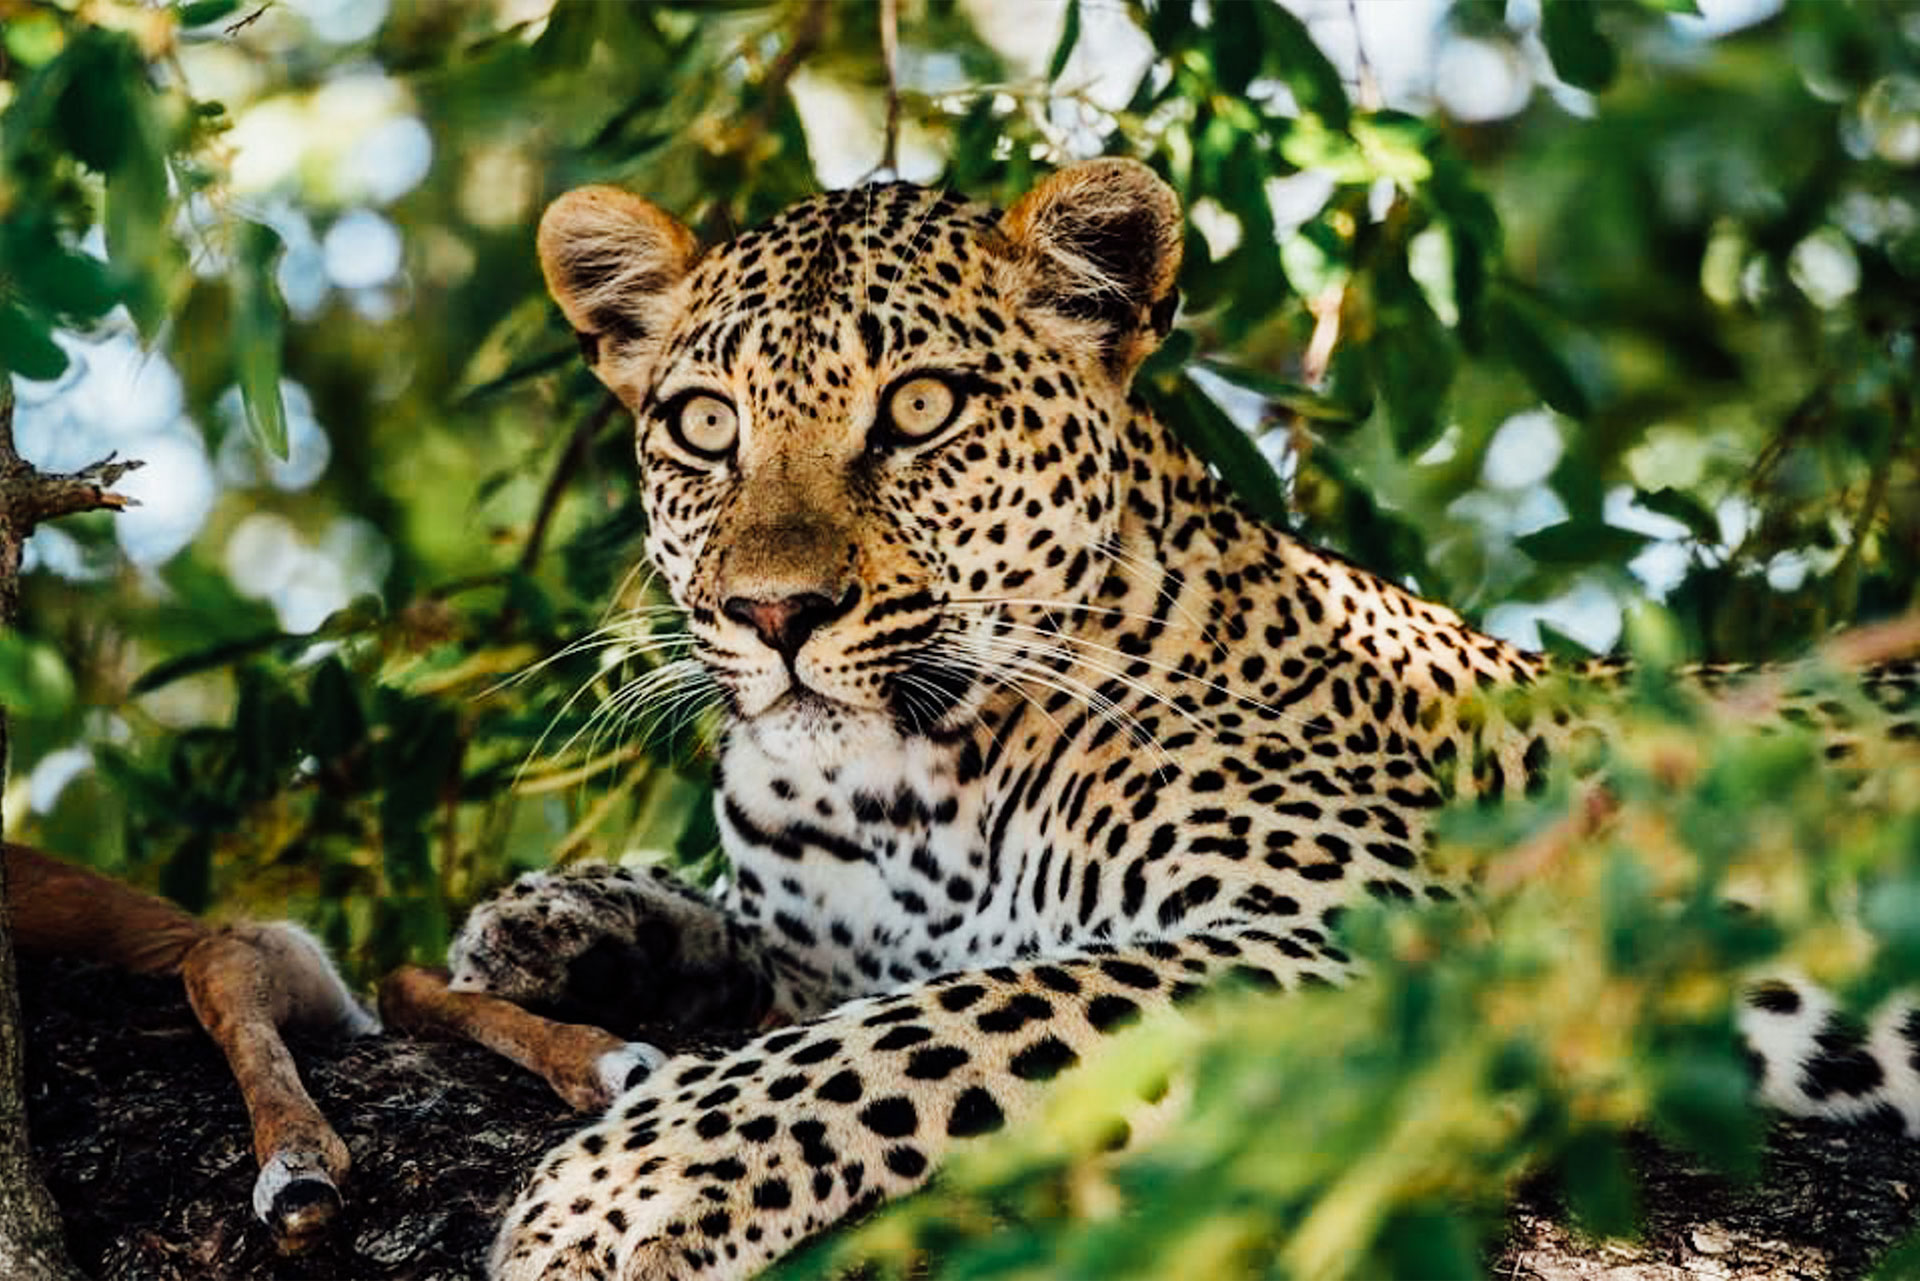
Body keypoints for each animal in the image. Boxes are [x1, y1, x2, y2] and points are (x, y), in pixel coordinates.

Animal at [452, 158, 1920, 1280]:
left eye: (920, 408)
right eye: (706, 426)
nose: (772, 612)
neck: (891, 791)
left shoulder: (1387, 932)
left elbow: (916, 1029)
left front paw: (620, 1194)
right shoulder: (822, 939)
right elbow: (761, 951)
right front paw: (556, 921)